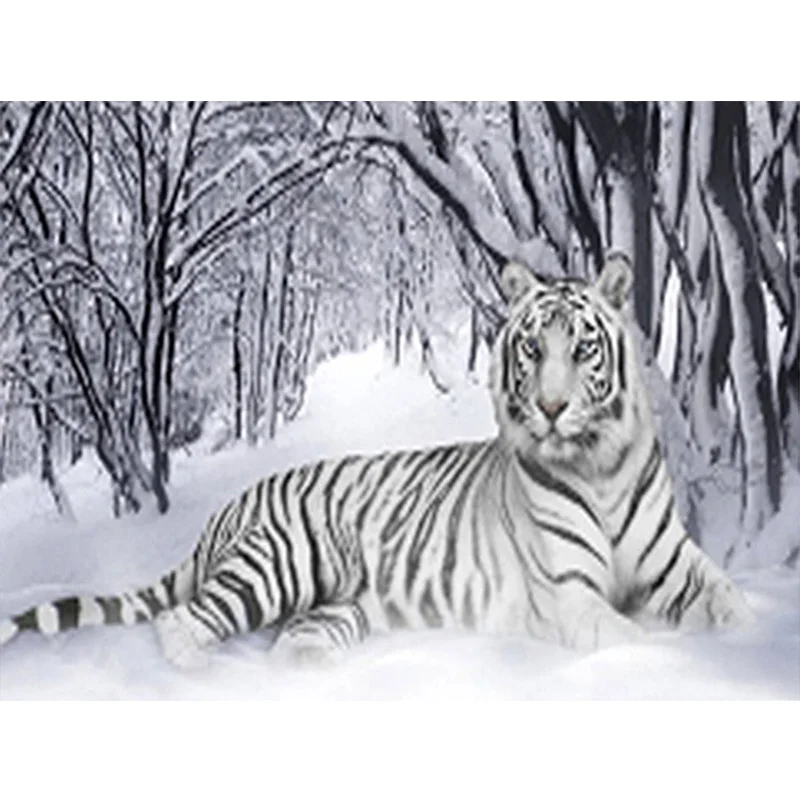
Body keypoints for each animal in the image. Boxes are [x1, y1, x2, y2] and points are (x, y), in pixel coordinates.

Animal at [0, 254, 754, 670]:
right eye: (532, 349)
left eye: (583, 348)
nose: (549, 408)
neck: (599, 466)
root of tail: (227, 508)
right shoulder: (572, 595)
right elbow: (633, 638)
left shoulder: (676, 564)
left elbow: (730, 603)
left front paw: (745, 637)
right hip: (279, 565)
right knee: (181, 621)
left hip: (339, 606)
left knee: (289, 639)